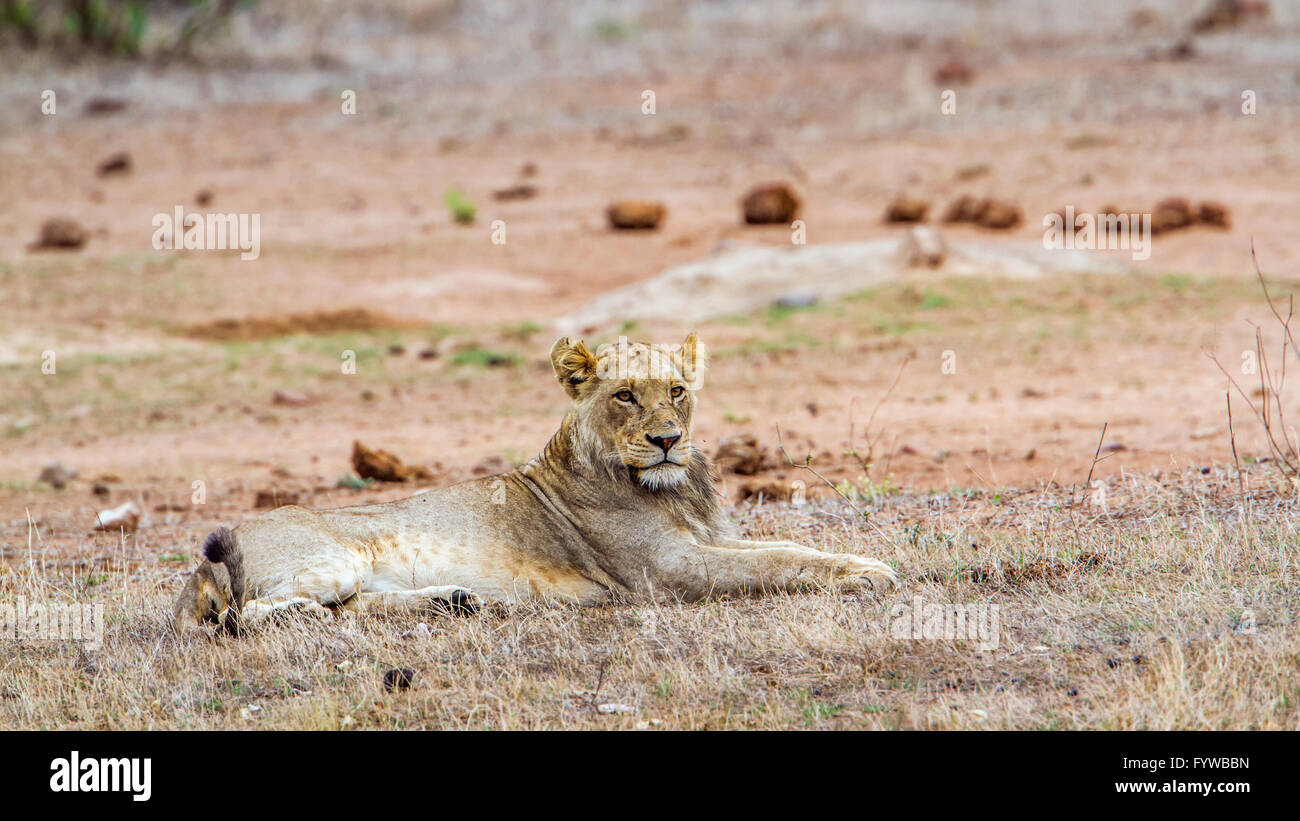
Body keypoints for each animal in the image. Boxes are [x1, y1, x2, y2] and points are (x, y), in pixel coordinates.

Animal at [172, 332, 894, 633]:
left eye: (677, 391)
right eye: (626, 395)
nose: (667, 439)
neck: (674, 489)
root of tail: (192, 577)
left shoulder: (707, 541)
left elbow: (785, 547)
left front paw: (860, 563)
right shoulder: (668, 570)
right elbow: (777, 561)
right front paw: (868, 575)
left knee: (352, 608)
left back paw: (453, 601)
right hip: (331, 559)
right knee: (254, 613)